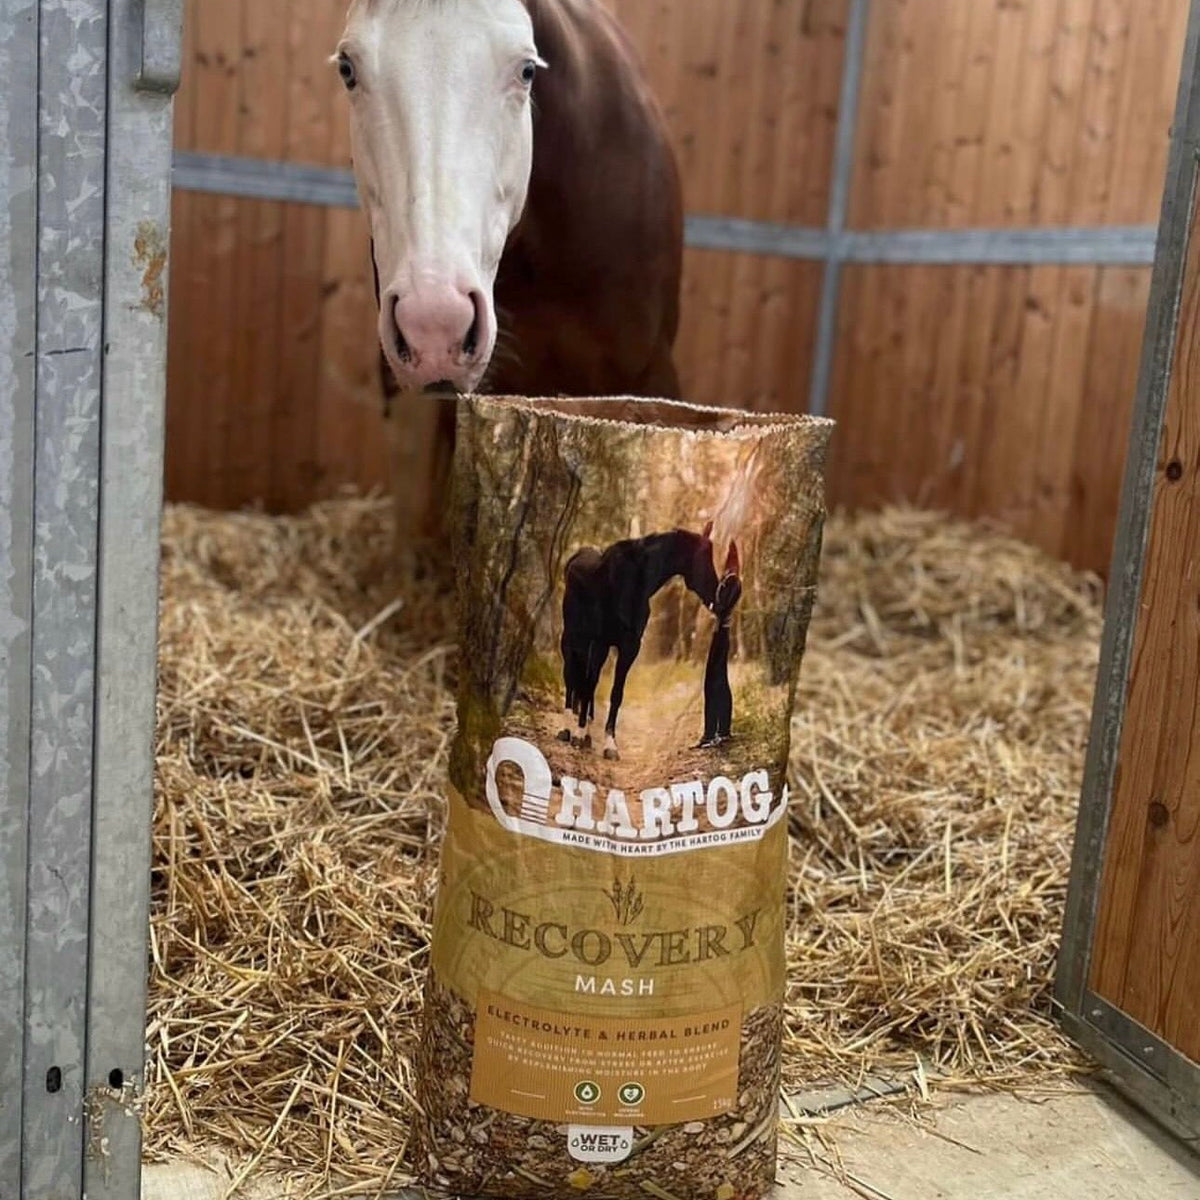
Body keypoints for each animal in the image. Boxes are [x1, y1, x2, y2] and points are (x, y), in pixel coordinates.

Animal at [559, 524, 719, 760]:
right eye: (704, 557)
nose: (719, 593)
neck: (630, 582)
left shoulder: (629, 647)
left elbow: (615, 693)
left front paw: (609, 745)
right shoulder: (600, 642)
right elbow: (588, 685)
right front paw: (579, 734)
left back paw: (586, 733)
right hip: (572, 639)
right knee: (572, 678)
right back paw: (567, 730)